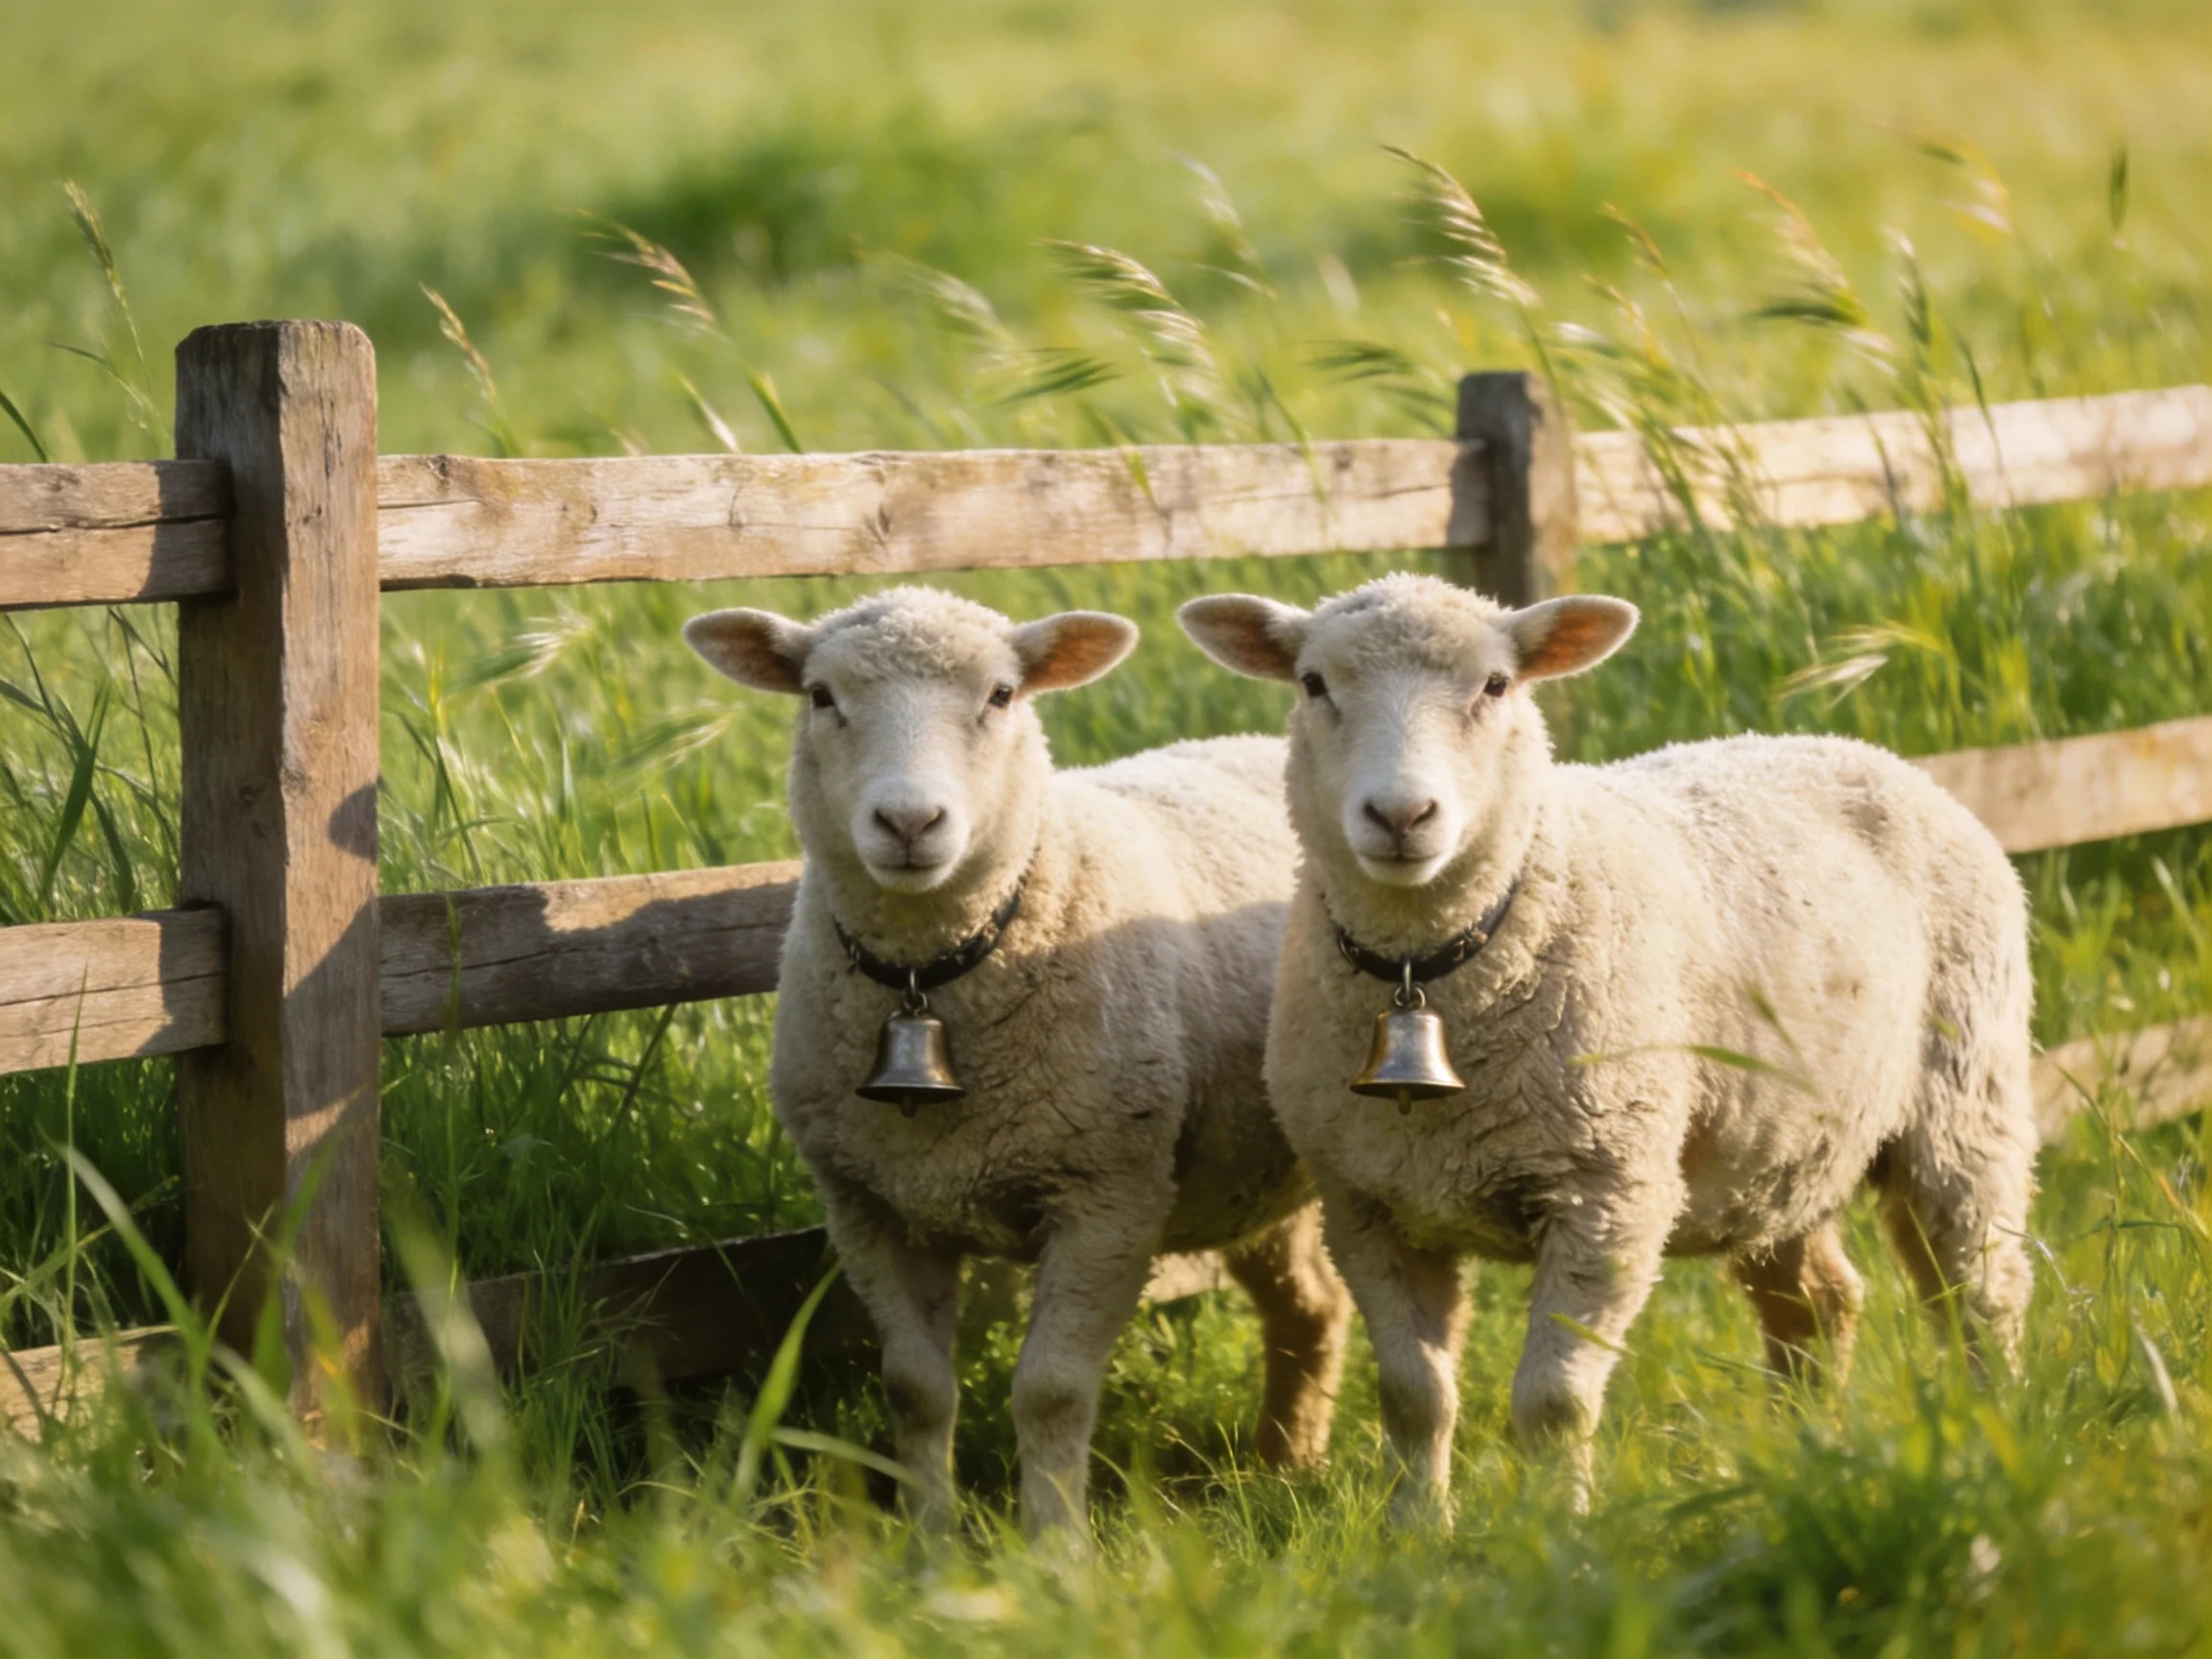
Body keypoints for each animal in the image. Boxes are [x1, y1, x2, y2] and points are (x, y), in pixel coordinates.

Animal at [684, 586, 1351, 1540]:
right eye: (820, 695)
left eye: (1001, 695)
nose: (910, 822)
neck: (930, 977)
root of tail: (1259, 740)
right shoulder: (870, 1206)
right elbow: (915, 1390)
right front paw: (928, 1540)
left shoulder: (1108, 1196)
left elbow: (1051, 1392)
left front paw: (1053, 1546)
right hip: (1250, 1173)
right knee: (1311, 1303)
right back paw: (1283, 1463)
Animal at [1180, 572, 2037, 1516]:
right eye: (1314, 684)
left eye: (1496, 686)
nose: (1402, 815)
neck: (1431, 970)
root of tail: (1854, 747)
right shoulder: (1369, 1204)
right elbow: (1414, 1396)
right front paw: (1417, 1529)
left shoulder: (1607, 1190)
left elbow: (1552, 1402)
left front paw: (1558, 1530)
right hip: (1777, 1146)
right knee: (1819, 1304)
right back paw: (1806, 1449)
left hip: (1965, 1099)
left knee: (1982, 1291)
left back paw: (1996, 1437)